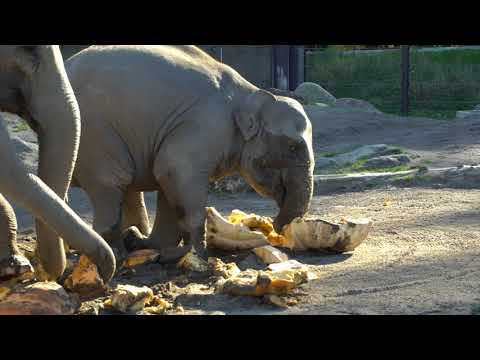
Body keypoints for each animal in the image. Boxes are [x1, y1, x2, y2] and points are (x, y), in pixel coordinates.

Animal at [65, 45, 316, 260]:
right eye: (293, 147)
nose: (275, 229)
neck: (250, 92)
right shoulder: (205, 127)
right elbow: (173, 170)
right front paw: (199, 256)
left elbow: (166, 181)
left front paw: (164, 250)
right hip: (94, 132)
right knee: (111, 181)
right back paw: (117, 253)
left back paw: (132, 241)